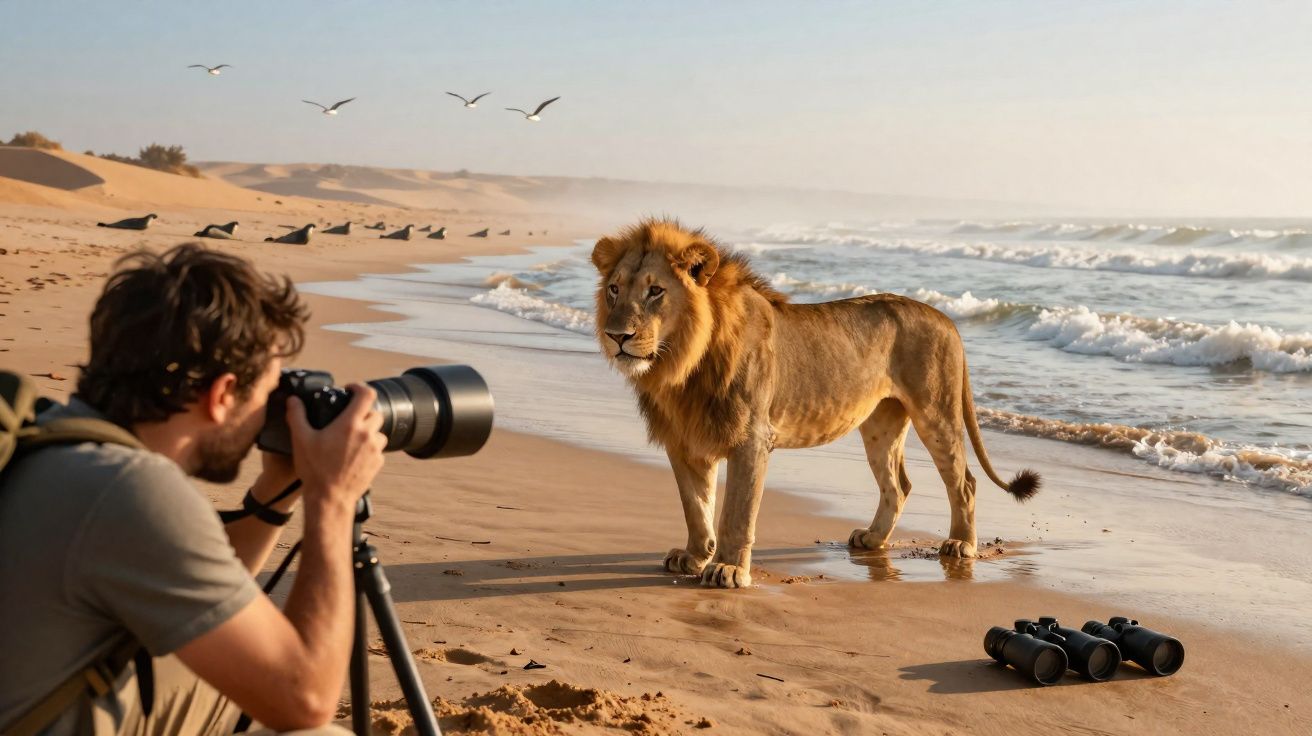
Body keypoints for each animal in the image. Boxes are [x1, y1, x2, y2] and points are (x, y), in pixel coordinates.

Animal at [591, 219, 1040, 588]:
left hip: (936, 412)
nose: (617, 337)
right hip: (880, 424)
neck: (682, 364)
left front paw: (729, 568)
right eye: (614, 289)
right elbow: (695, 506)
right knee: (898, 485)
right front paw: (695, 556)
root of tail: (946, 319)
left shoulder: (752, 438)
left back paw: (960, 545)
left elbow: (737, 511)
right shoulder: (684, 441)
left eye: (655, 291)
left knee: (963, 481)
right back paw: (873, 539)